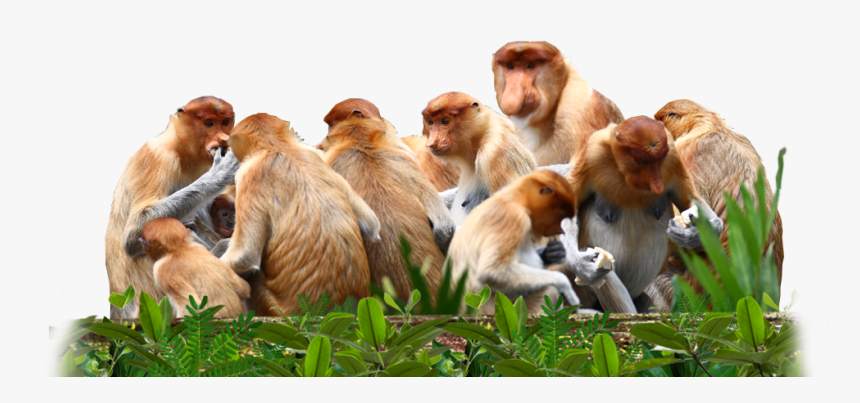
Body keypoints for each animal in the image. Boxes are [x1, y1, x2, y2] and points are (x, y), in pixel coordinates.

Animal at [105, 96, 239, 319]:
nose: (223, 139)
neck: (183, 150)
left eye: (226, 122)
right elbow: (136, 230)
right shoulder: (157, 158)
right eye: (209, 123)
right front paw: (222, 171)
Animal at [220, 113, 381, 316]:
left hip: (271, 304)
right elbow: (372, 224)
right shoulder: (317, 156)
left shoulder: (250, 174)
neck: (277, 147)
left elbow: (245, 256)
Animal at [447, 170, 580, 315]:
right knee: (550, 290)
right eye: (560, 217)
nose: (559, 231)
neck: (515, 199)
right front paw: (566, 286)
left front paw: (553, 252)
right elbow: (491, 272)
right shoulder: (513, 218)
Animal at [558, 116, 724, 313]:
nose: (656, 184)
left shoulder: (672, 157)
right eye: (643, 161)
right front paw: (581, 265)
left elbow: (689, 199)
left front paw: (692, 234)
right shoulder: (592, 153)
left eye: (658, 161)